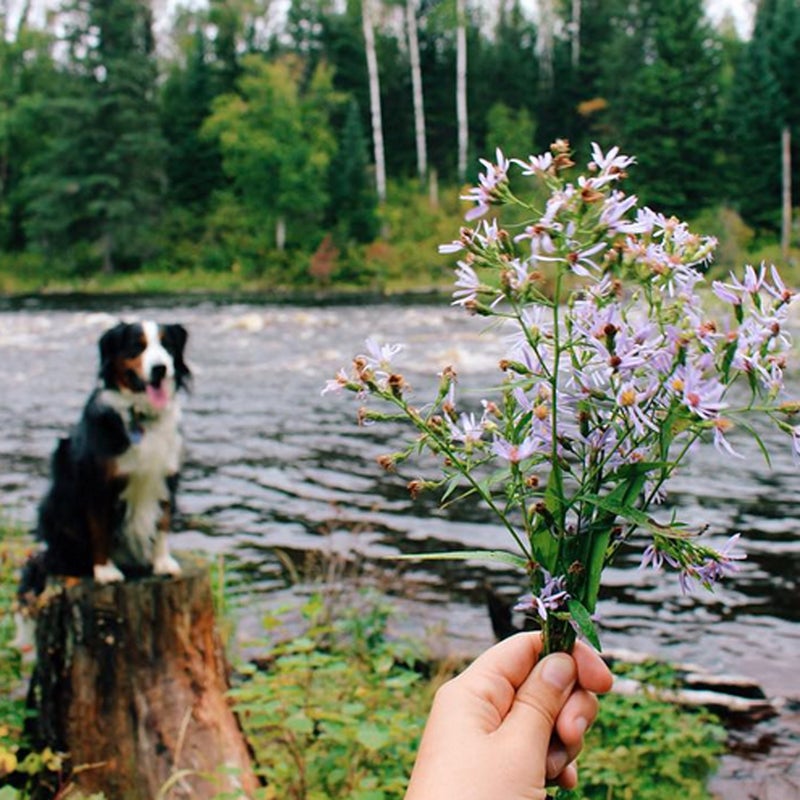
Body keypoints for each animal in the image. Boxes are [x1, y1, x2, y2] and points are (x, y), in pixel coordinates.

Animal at [29, 318, 192, 588]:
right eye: (137, 347)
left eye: (167, 345)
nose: (160, 368)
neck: (140, 416)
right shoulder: (96, 480)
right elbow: (99, 528)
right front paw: (105, 571)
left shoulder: (166, 474)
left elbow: (163, 521)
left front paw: (162, 563)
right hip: (55, 506)